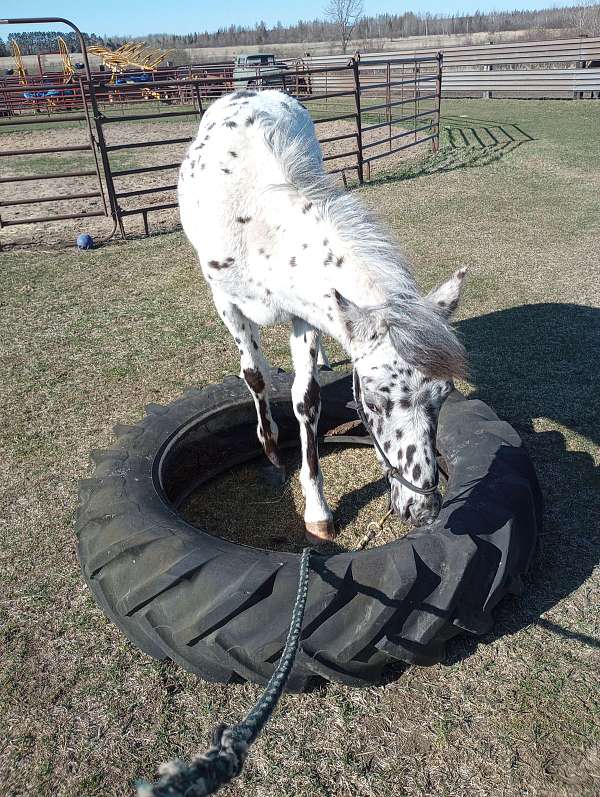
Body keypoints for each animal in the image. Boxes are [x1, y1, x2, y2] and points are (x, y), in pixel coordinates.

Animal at [179, 90, 468, 544]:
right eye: (373, 401)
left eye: (443, 396)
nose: (422, 510)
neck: (259, 228)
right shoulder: (225, 302)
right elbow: (254, 376)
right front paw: (272, 452)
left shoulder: (307, 315)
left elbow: (307, 400)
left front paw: (316, 509)